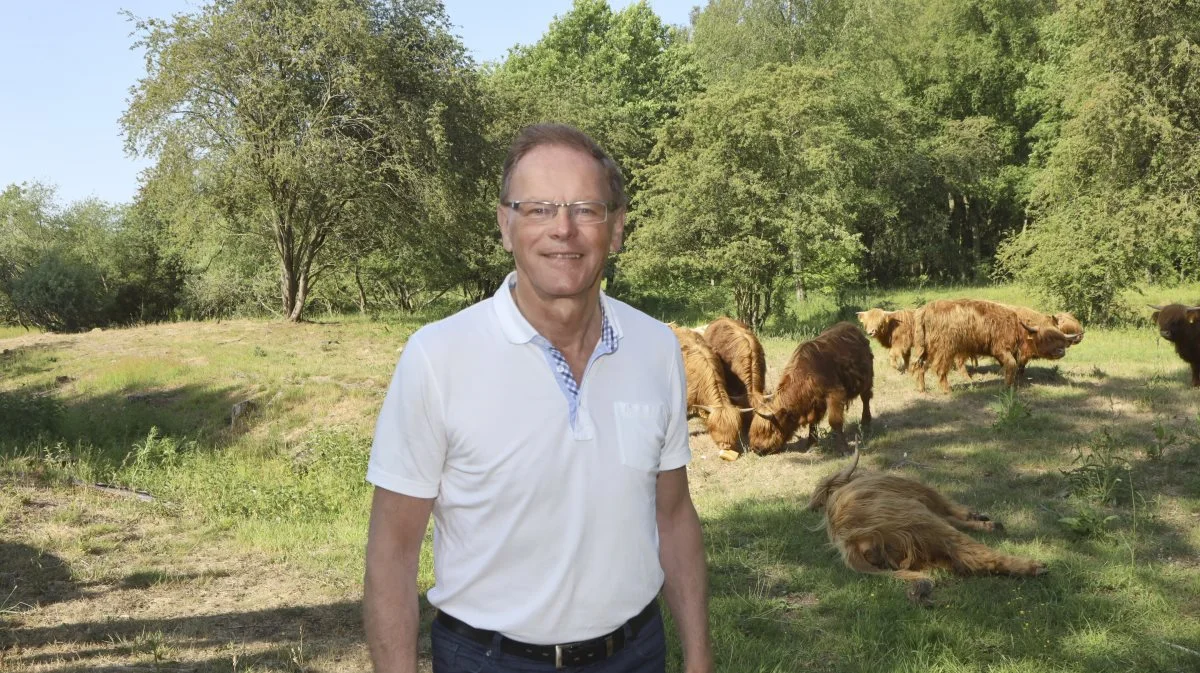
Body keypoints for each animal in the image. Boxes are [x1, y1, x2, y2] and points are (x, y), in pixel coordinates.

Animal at [748, 321, 873, 455]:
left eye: (768, 430)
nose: (756, 448)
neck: (806, 374)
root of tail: (851, 326)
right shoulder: (814, 402)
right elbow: (813, 422)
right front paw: (812, 443)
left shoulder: (835, 393)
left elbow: (835, 421)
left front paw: (843, 448)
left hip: (867, 379)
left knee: (866, 398)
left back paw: (866, 422)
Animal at [806, 451, 1051, 604]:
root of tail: (852, 542)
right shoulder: (924, 496)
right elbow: (952, 510)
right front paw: (981, 519)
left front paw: (981, 520)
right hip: (921, 522)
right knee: (970, 551)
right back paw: (1032, 566)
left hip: (921, 549)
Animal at [907, 299, 1080, 393]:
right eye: (1047, 337)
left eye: (1060, 337)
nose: (1061, 351)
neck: (1017, 326)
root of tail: (925, 310)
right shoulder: (1001, 349)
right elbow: (1011, 365)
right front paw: (1007, 386)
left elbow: (1015, 366)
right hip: (945, 350)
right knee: (940, 369)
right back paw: (947, 390)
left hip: (927, 349)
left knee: (920, 366)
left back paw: (922, 389)